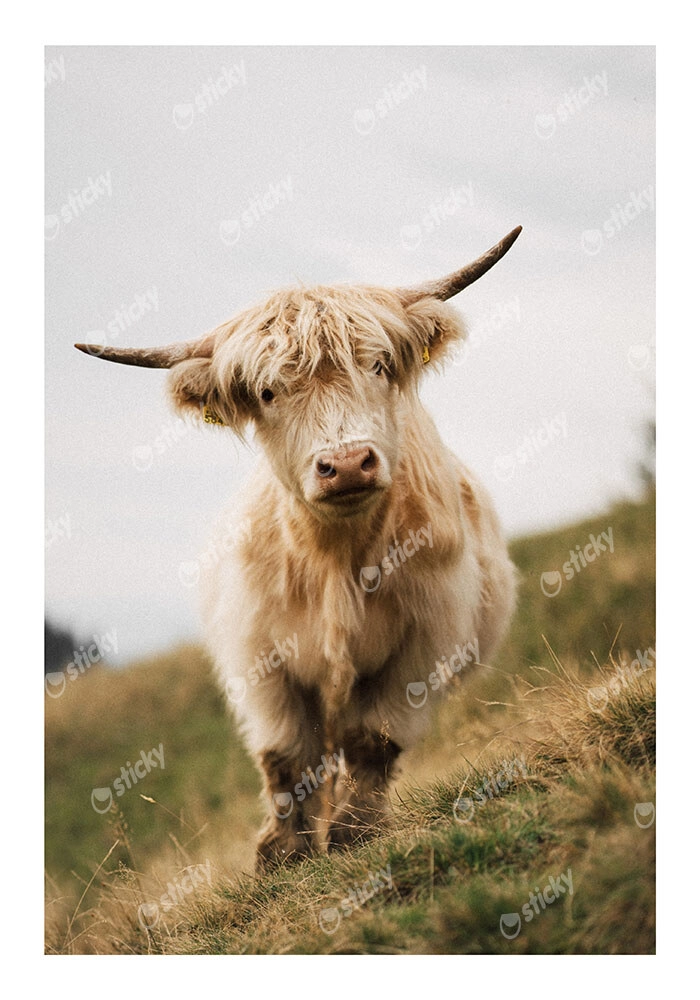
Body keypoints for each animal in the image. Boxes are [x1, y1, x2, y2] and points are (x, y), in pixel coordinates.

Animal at [75, 226, 521, 871]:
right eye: (266, 392)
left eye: (378, 364)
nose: (347, 464)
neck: (336, 555)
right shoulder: (259, 655)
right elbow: (286, 754)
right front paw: (282, 854)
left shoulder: (426, 642)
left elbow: (374, 738)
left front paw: (356, 832)